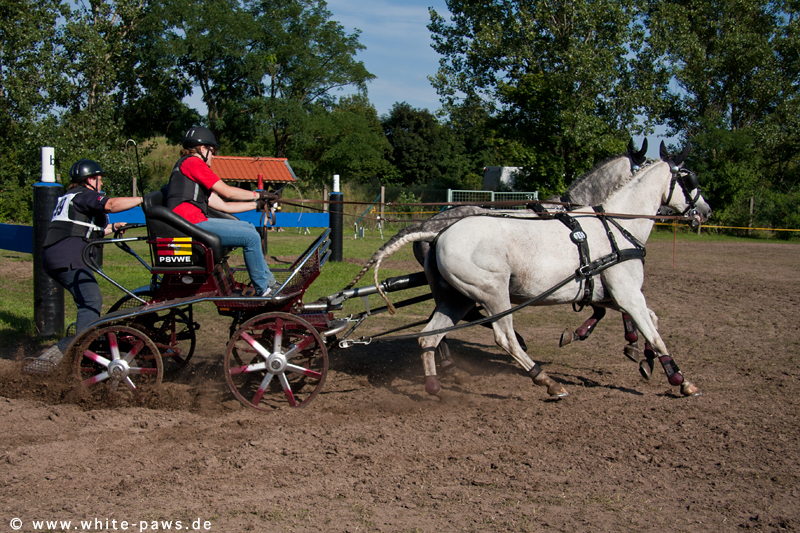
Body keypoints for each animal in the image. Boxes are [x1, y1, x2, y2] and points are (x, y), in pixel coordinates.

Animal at [372, 144, 708, 400]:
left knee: (430, 335)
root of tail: (435, 232)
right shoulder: (627, 294)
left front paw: (645, 359)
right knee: (503, 337)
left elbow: (649, 321)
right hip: (493, 293)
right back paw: (546, 381)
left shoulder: (609, 295)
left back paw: (435, 383)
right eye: (690, 179)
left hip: (456, 298)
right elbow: (654, 333)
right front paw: (679, 378)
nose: (706, 211)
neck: (615, 226)